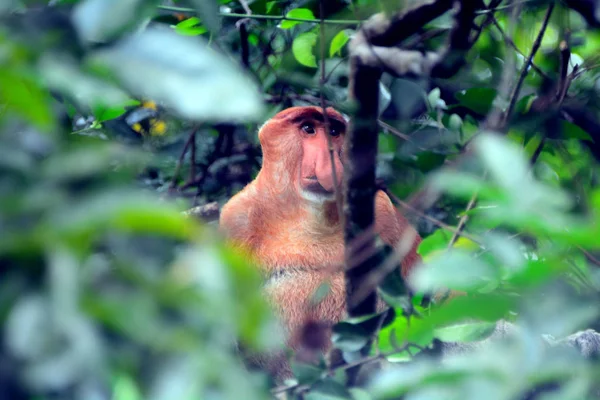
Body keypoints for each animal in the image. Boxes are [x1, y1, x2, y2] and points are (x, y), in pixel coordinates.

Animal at [218, 106, 420, 378]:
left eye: (334, 131)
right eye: (308, 129)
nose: (329, 156)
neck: (307, 215)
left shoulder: (382, 211)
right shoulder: (236, 221)